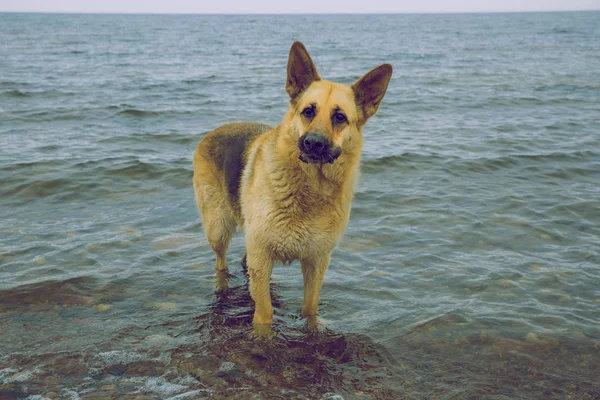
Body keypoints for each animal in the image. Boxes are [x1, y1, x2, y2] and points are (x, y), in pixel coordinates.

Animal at [193, 41, 394, 328]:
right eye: (308, 111)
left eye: (340, 117)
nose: (313, 144)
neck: (310, 188)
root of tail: (215, 130)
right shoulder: (263, 258)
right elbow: (264, 315)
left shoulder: (316, 263)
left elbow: (310, 309)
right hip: (218, 229)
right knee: (221, 264)